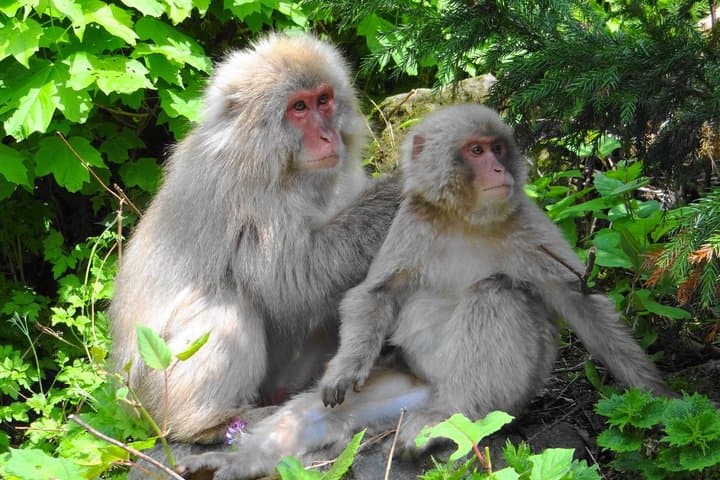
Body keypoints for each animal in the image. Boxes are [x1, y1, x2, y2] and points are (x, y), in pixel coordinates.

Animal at [108, 33, 401, 445]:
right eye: (298, 107)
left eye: (323, 99)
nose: (328, 136)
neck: (283, 168)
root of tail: (125, 402)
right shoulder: (243, 192)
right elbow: (292, 279)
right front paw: (399, 189)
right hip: (153, 388)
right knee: (228, 303)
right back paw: (206, 423)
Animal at [177, 104, 673, 479]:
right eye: (476, 150)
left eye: (497, 148)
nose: (498, 167)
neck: (464, 219)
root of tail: (432, 391)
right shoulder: (412, 224)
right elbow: (373, 295)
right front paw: (344, 370)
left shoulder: (527, 225)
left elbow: (578, 300)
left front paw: (661, 396)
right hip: (402, 383)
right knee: (315, 412)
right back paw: (239, 461)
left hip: (508, 396)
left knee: (496, 296)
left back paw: (445, 418)